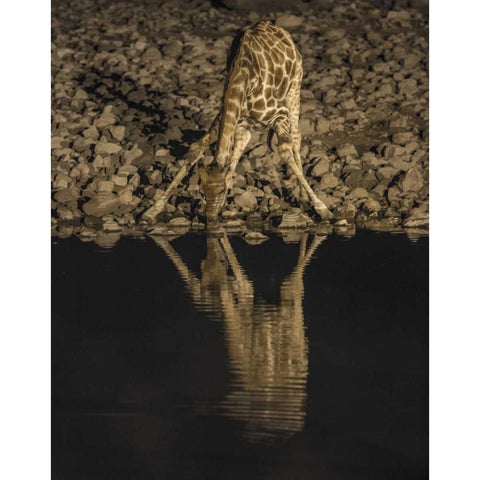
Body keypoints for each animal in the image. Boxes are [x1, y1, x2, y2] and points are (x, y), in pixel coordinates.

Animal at [141, 19, 332, 226]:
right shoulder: (225, 115)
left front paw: (323, 209)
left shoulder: (279, 114)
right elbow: (197, 149)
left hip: (295, 87)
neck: (243, 77)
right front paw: (152, 211)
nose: (210, 219)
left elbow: (284, 151)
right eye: (202, 190)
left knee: (296, 137)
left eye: (221, 189)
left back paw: (305, 197)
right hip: (247, 123)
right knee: (241, 145)